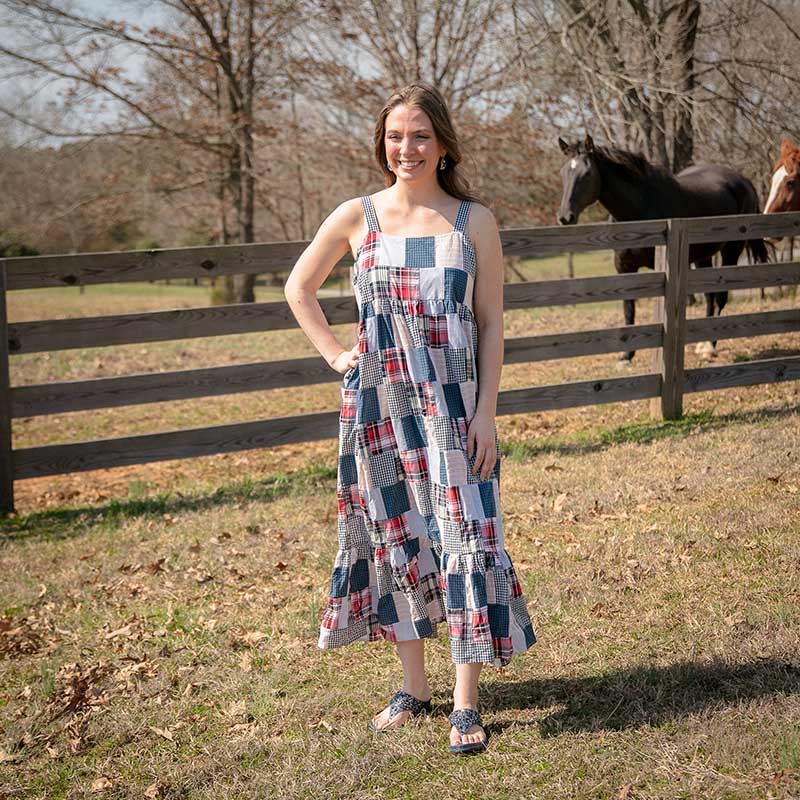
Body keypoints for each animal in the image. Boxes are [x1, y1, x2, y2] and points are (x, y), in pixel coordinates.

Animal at [556, 136, 768, 360]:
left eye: (587, 174)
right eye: (563, 172)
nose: (565, 217)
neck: (639, 207)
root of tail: (744, 181)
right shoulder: (624, 267)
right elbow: (628, 309)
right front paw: (626, 356)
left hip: (731, 250)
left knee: (721, 296)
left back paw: (710, 346)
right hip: (703, 255)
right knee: (710, 296)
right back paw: (702, 343)